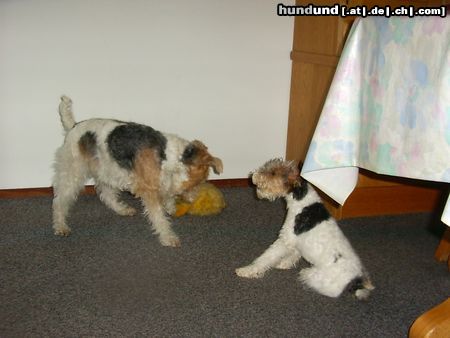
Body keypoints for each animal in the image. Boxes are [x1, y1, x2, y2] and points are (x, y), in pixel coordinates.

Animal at [52, 96, 223, 247]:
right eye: (198, 182)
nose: (192, 200)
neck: (168, 154)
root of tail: (73, 126)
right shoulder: (149, 189)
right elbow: (159, 216)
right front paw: (168, 237)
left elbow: (167, 194)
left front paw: (170, 207)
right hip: (73, 172)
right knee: (59, 201)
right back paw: (61, 226)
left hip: (107, 169)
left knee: (107, 195)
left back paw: (123, 209)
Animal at [236, 160, 372, 300]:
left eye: (273, 173)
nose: (253, 176)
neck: (304, 202)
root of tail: (356, 280)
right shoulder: (295, 240)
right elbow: (294, 253)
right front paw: (285, 263)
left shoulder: (285, 239)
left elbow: (266, 257)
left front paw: (246, 270)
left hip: (316, 276)